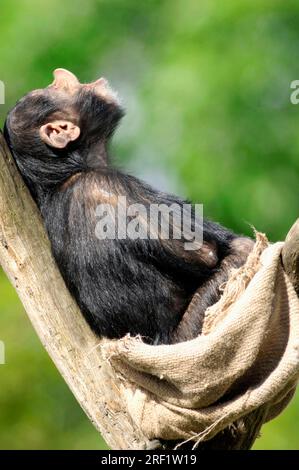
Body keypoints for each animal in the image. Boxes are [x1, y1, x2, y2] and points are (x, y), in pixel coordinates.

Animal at [3, 68, 254, 344]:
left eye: (53, 86)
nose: (58, 74)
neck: (65, 171)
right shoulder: (112, 187)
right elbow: (207, 251)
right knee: (242, 251)